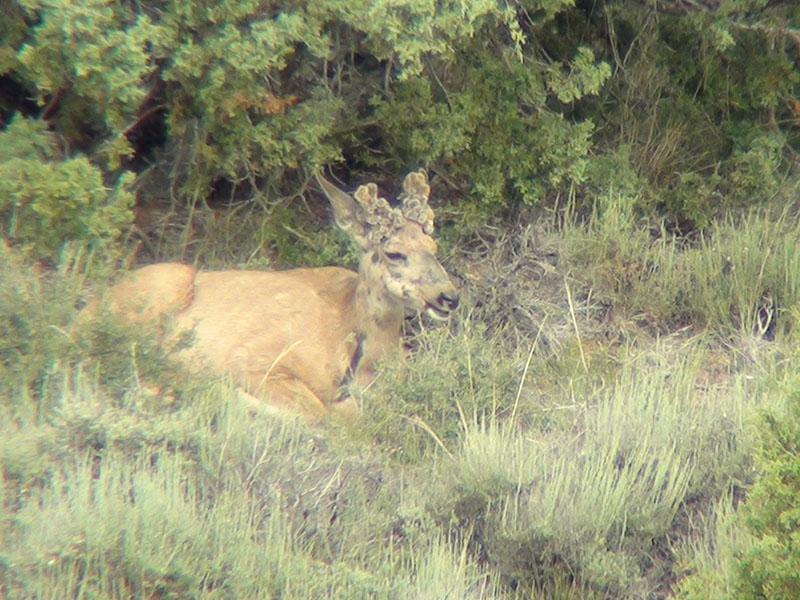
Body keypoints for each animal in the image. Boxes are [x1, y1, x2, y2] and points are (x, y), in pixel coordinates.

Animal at [94, 171, 460, 420]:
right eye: (394, 253)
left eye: (433, 246)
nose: (449, 297)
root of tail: (91, 305)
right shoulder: (252, 358)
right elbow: (325, 415)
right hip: (159, 293)